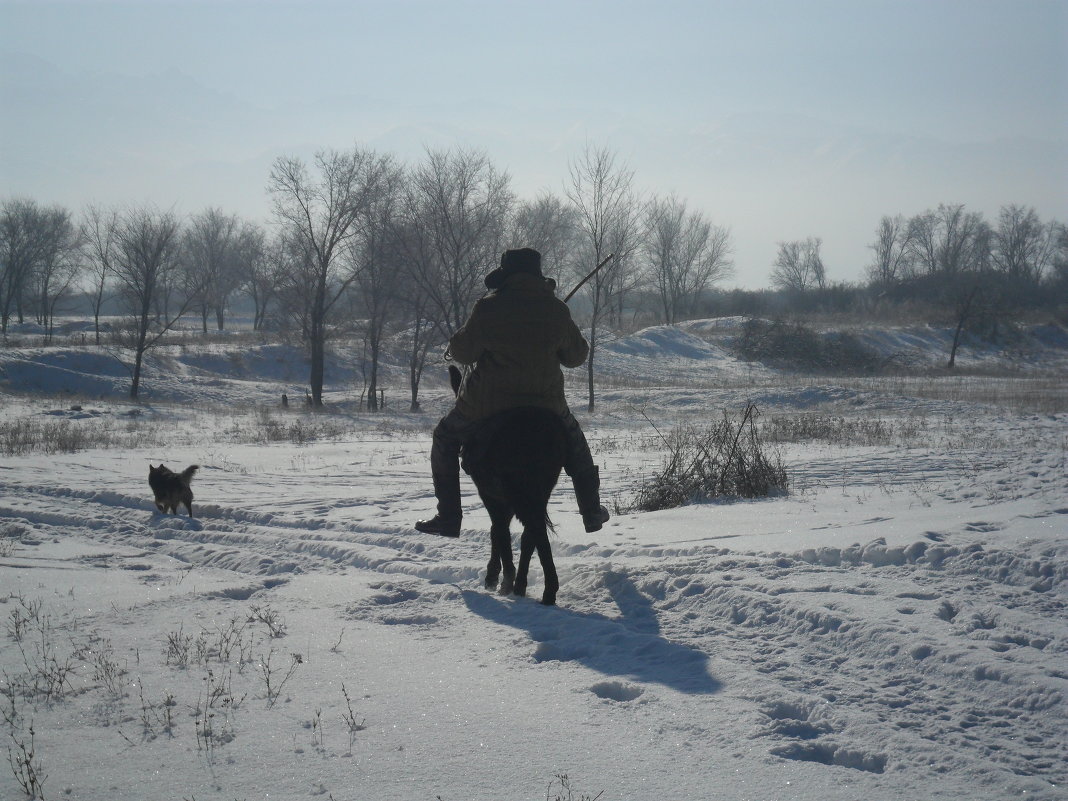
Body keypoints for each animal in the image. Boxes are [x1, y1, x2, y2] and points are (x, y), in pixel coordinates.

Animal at [448, 367, 568, 606]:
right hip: (539, 489)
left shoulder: (491, 493)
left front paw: (499, 579)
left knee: (536, 528)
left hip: (519, 490)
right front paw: (503, 577)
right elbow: (504, 531)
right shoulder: (508, 498)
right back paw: (524, 584)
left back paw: (546, 589)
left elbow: (499, 530)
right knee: (532, 531)